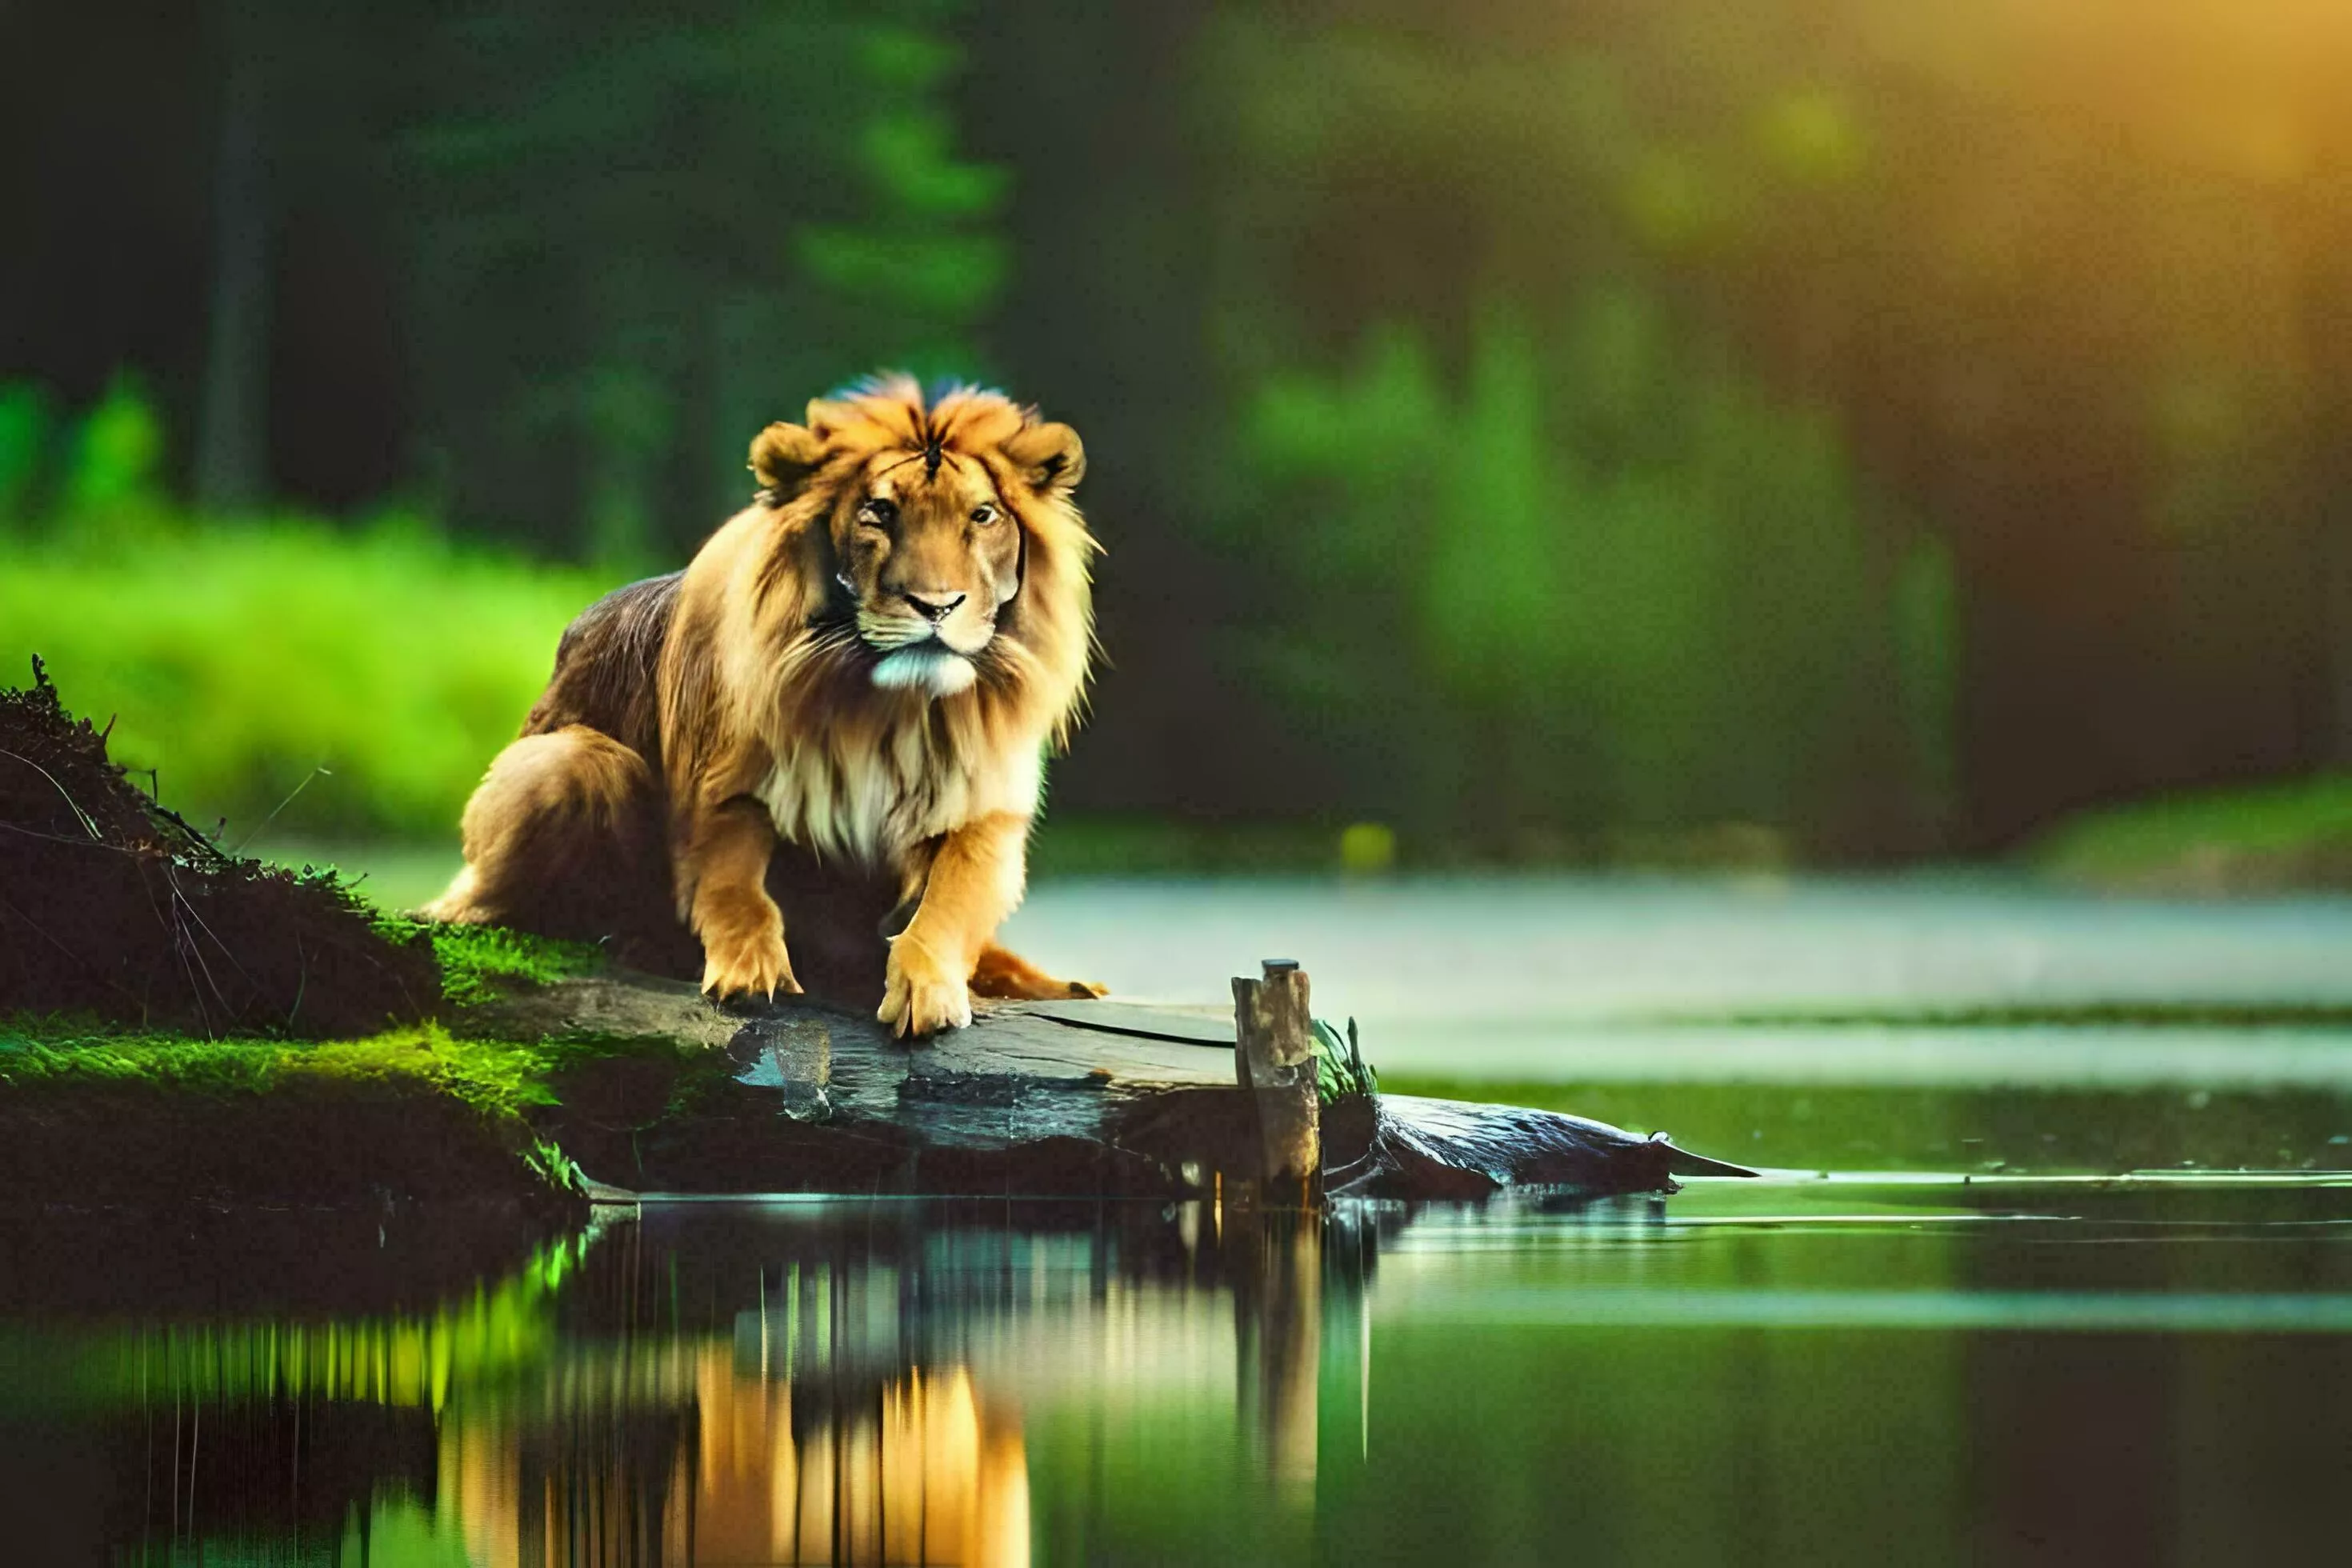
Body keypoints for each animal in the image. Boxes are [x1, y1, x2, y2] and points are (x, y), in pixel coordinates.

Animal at [421, 374, 1103, 1036]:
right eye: (879, 513)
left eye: (982, 515)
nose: (936, 606)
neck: (888, 706)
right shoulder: (726, 788)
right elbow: (736, 889)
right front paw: (750, 969)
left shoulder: (984, 812)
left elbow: (949, 907)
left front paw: (928, 987)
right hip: (567, 761)